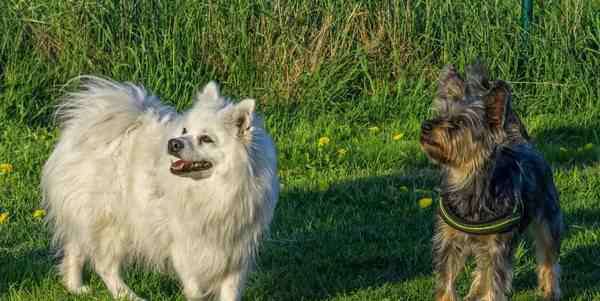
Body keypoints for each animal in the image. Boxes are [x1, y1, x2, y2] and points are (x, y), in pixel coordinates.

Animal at [41, 78, 280, 300]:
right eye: (185, 130)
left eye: (206, 139)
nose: (174, 143)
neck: (213, 191)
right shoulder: (183, 246)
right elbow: (195, 290)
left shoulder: (236, 251)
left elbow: (230, 292)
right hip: (113, 223)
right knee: (104, 265)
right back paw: (127, 295)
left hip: (88, 218)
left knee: (76, 248)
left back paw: (75, 287)